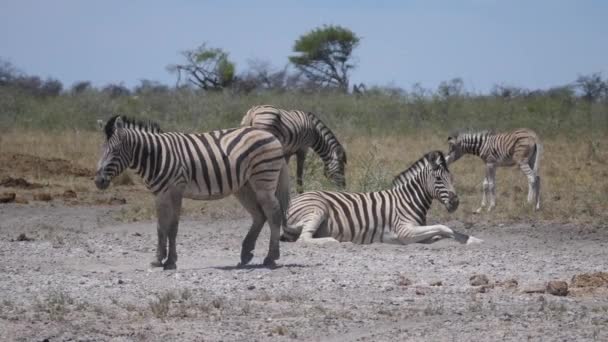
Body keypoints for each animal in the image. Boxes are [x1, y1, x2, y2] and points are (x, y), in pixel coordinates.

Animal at [96, 115, 290, 270]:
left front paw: (171, 262)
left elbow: (172, 227)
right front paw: (158, 260)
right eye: (101, 150)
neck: (157, 156)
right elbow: (160, 227)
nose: (98, 181)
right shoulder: (159, 195)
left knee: (273, 214)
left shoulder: (176, 190)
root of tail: (271, 135)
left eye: (115, 151)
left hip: (263, 181)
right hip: (244, 187)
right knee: (259, 215)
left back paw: (270, 258)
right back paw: (246, 254)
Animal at [282, 151, 484, 244]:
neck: (409, 200)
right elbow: (443, 227)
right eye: (438, 179)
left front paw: (474, 239)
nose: (455, 202)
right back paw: (334, 241)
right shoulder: (404, 231)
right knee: (304, 239)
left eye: (452, 178)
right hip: (318, 209)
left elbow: (446, 231)